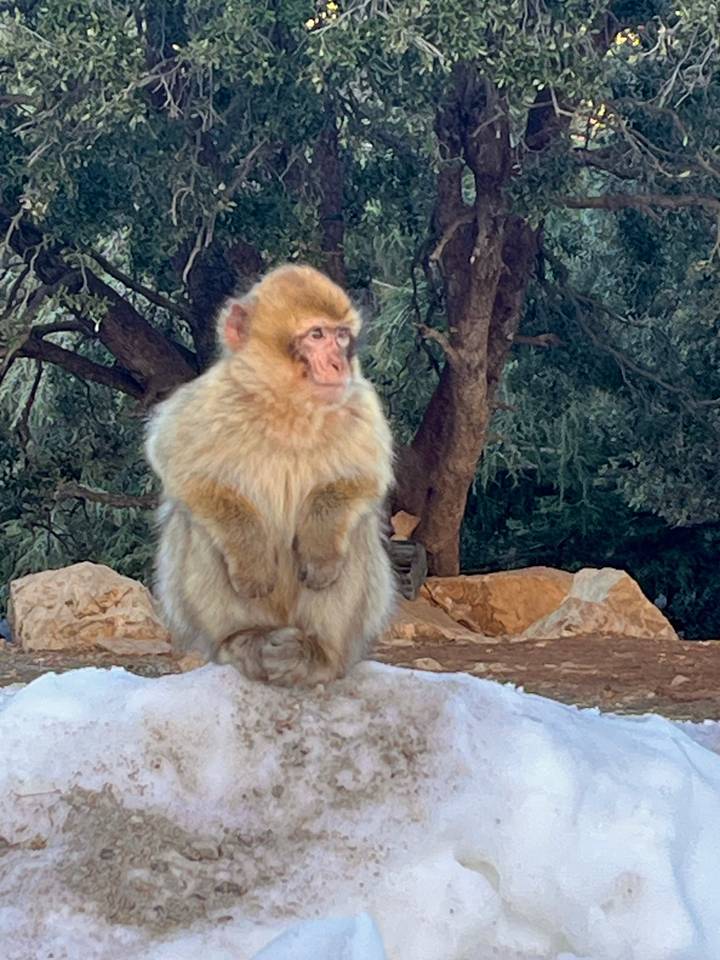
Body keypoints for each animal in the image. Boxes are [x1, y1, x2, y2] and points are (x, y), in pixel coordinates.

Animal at [145, 264, 396, 686]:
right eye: (316, 335)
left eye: (341, 336)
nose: (339, 364)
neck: (287, 407)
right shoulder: (211, 397)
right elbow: (180, 467)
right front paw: (252, 559)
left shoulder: (360, 401)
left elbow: (363, 479)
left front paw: (321, 549)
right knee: (196, 524)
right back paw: (245, 639)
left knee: (357, 528)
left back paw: (318, 653)